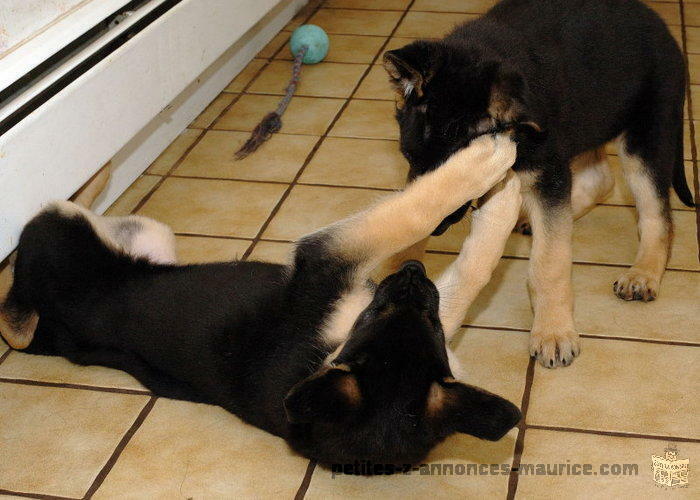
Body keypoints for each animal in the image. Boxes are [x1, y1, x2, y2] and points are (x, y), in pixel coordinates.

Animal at [1, 135, 524, 466]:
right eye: (381, 313)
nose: (412, 272)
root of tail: (52, 333)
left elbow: (460, 260)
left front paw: (500, 191)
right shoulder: (326, 260)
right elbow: (422, 222)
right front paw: (493, 173)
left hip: (133, 234)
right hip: (75, 230)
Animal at [382, 0, 696, 368]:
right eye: (409, 156)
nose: (436, 229)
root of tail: (661, 28)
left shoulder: (547, 172)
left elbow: (550, 263)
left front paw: (554, 332)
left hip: (643, 141)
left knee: (656, 216)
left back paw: (644, 273)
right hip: (588, 123)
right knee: (600, 179)